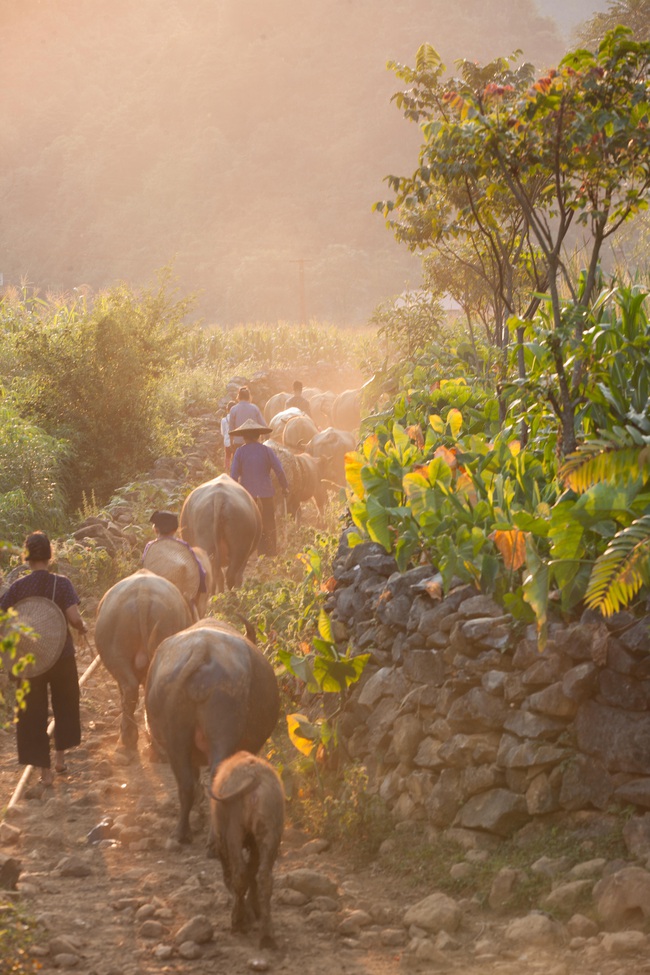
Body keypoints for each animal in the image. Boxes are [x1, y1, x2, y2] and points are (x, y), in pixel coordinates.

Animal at [144, 620, 278, 844]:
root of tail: (202, 648)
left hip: (175, 739)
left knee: (185, 783)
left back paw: (181, 833)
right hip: (223, 733)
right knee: (217, 776)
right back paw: (214, 837)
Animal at [208, 752, 284, 948]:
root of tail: (254, 776)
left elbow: (236, 874)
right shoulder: (255, 846)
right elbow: (253, 872)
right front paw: (253, 910)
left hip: (234, 833)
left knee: (239, 874)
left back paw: (238, 922)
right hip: (269, 833)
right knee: (264, 877)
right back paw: (267, 936)